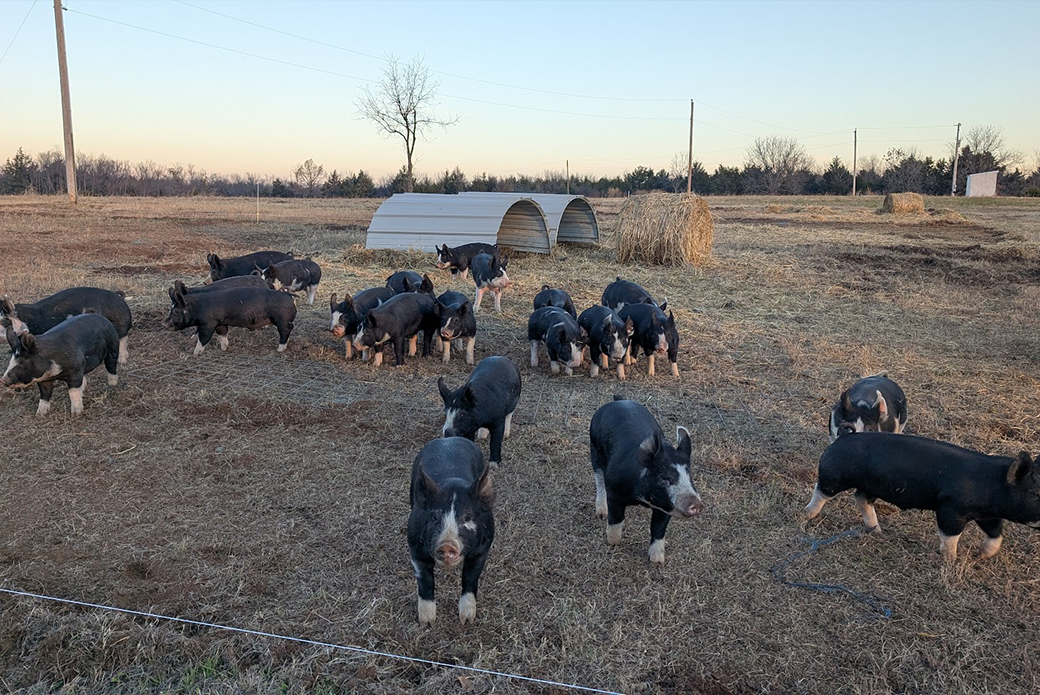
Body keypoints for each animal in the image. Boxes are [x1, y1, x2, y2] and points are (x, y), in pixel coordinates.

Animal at [164, 285, 296, 354]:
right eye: (170, 309)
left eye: (176, 311)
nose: (164, 323)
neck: (197, 308)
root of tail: (289, 296)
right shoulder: (220, 323)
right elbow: (222, 335)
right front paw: (224, 349)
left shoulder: (208, 323)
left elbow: (203, 338)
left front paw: (195, 353)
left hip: (282, 319)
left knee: (286, 331)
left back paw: (279, 350)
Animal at [408, 437, 495, 626]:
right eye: (434, 517)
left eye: (467, 517)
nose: (447, 544)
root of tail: (449, 438)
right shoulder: (415, 548)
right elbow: (425, 582)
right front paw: (427, 623)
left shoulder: (483, 549)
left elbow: (470, 578)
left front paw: (467, 620)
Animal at [589, 397, 704, 564]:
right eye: (664, 477)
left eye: (689, 476)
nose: (696, 503)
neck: (642, 499)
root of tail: (619, 400)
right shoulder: (614, 493)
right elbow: (616, 518)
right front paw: (613, 544)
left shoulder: (665, 506)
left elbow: (658, 529)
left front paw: (657, 562)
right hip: (594, 447)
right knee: (599, 480)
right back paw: (601, 514)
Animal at [805, 431, 1040, 563]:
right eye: (1034, 493)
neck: (992, 485)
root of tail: (843, 437)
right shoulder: (950, 508)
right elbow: (951, 536)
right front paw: (950, 561)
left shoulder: (988, 515)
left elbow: (996, 535)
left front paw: (981, 556)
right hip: (834, 475)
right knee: (822, 490)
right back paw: (807, 515)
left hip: (870, 486)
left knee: (861, 499)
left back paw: (877, 531)